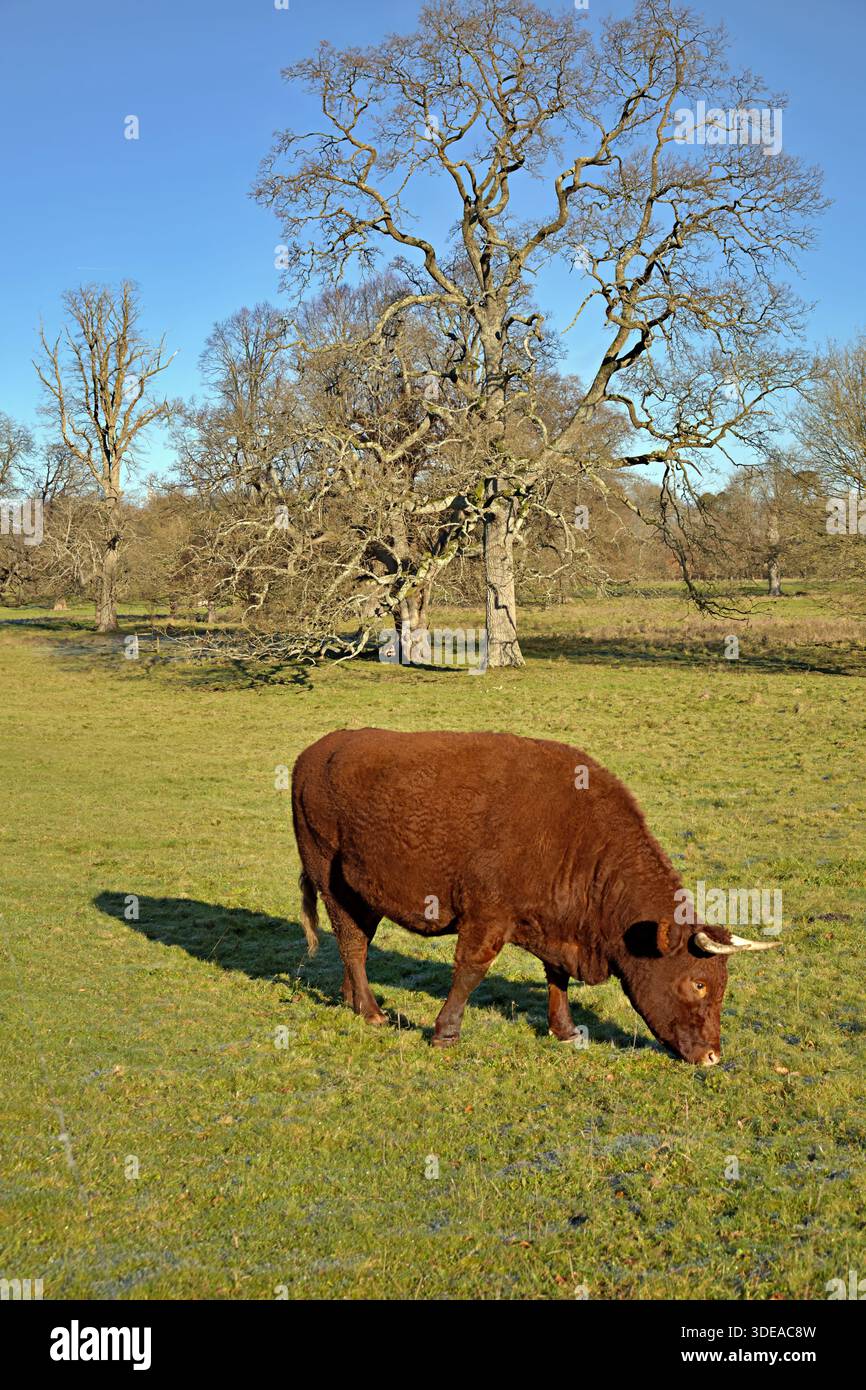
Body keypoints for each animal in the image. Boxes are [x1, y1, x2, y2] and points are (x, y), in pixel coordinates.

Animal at [291, 728, 779, 1064]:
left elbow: (556, 976)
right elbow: (469, 971)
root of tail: (314, 752)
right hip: (331, 881)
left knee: (356, 941)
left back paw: (351, 1000)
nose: (713, 1056)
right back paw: (371, 1011)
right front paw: (445, 1033)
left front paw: (565, 1030)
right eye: (698, 983)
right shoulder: (486, 917)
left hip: (361, 894)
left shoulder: (557, 925)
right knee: (352, 943)